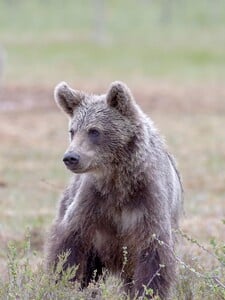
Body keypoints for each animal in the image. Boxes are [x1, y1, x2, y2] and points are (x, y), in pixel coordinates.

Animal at [45, 81, 183, 298]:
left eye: (94, 131)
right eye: (72, 131)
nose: (71, 157)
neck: (118, 181)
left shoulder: (148, 201)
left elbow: (154, 257)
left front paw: (147, 292)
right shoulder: (93, 202)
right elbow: (68, 248)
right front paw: (62, 284)